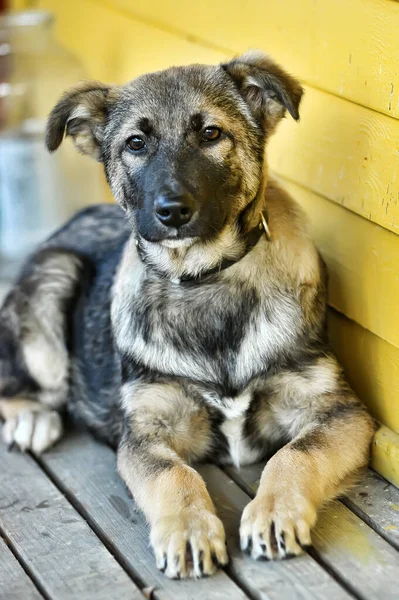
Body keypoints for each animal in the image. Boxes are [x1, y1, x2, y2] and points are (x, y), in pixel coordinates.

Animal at [0, 52, 376, 580]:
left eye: (211, 134)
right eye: (135, 143)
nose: (172, 211)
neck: (205, 279)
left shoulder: (341, 412)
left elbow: (296, 454)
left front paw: (274, 511)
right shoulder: (146, 433)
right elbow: (173, 474)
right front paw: (189, 530)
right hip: (55, 282)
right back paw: (32, 418)